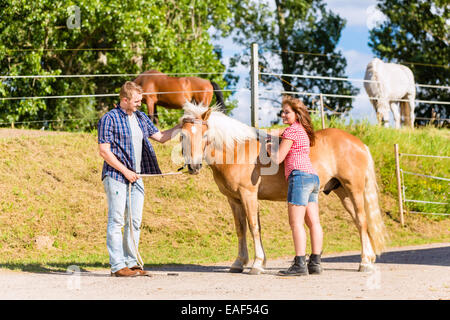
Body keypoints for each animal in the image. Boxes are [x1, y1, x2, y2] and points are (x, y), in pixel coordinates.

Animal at [179, 102, 386, 276]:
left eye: (204, 135)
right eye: (182, 136)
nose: (194, 166)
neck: (236, 151)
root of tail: (359, 144)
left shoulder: (248, 195)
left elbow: (254, 227)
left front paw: (257, 264)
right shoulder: (234, 199)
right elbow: (241, 229)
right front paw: (239, 263)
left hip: (354, 189)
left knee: (362, 221)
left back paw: (364, 262)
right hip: (342, 192)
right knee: (359, 222)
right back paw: (368, 259)